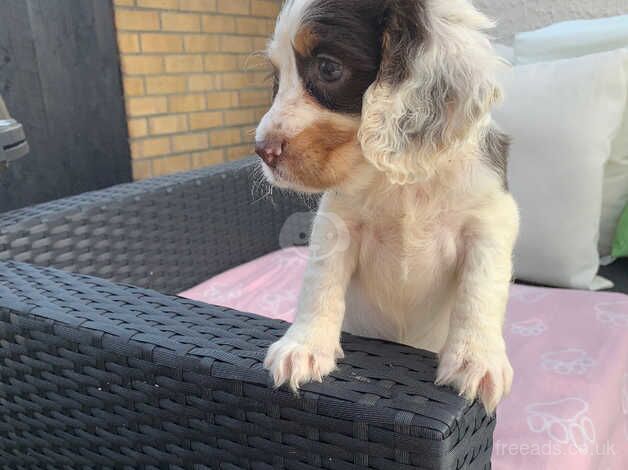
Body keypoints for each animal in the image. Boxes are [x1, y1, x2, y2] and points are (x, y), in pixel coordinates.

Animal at [255, 0, 520, 412]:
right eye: (276, 76)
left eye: (328, 68)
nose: (262, 150)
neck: (402, 177)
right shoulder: (337, 223)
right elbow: (320, 282)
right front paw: (304, 346)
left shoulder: (490, 221)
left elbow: (480, 290)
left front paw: (476, 359)